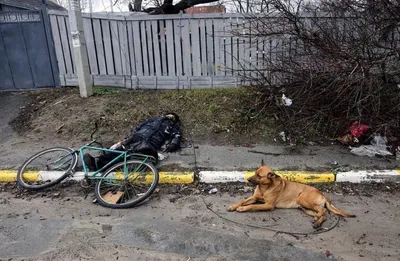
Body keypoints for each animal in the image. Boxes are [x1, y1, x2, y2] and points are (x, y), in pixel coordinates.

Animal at [228, 159, 356, 226]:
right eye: (255, 172)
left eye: (259, 176)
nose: (248, 180)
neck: (265, 187)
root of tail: (322, 193)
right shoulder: (254, 197)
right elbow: (242, 201)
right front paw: (234, 206)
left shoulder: (268, 205)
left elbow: (252, 206)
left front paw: (242, 208)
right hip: (305, 208)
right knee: (323, 214)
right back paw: (317, 221)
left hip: (303, 199)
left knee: (323, 210)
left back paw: (318, 220)